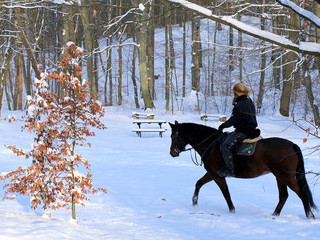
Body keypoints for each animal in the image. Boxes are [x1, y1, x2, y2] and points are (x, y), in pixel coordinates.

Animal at [169, 122, 316, 219]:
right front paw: (194, 205)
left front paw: (232, 211)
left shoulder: (217, 175)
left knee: (302, 194)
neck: (211, 144)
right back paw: (274, 215)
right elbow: (198, 184)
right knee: (284, 196)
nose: (172, 153)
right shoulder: (212, 174)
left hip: (287, 176)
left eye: (173, 136)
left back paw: (310, 216)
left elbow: (226, 194)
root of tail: (292, 145)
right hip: (280, 176)